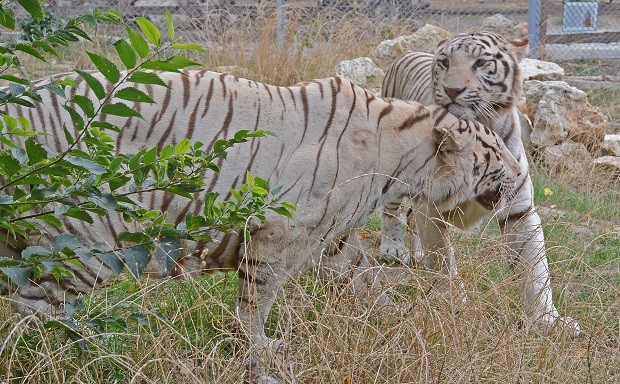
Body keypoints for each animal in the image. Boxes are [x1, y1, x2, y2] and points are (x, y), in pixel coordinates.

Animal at [2, 70, 520, 382]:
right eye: (497, 154)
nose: (521, 173)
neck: (404, 159)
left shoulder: (329, 239)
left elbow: (365, 275)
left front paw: (395, 317)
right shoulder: (280, 236)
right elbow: (255, 304)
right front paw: (262, 355)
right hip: (86, 242)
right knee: (32, 310)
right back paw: (80, 354)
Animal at [378, 31, 580, 338]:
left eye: (481, 62)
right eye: (445, 62)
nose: (452, 90)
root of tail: (406, 52)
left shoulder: (519, 209)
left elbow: (535, 268)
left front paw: (547, 320)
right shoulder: (432, 208)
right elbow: (443, 257)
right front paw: (452, 299)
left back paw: (417, 253)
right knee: (391, 211)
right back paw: (393, 248)